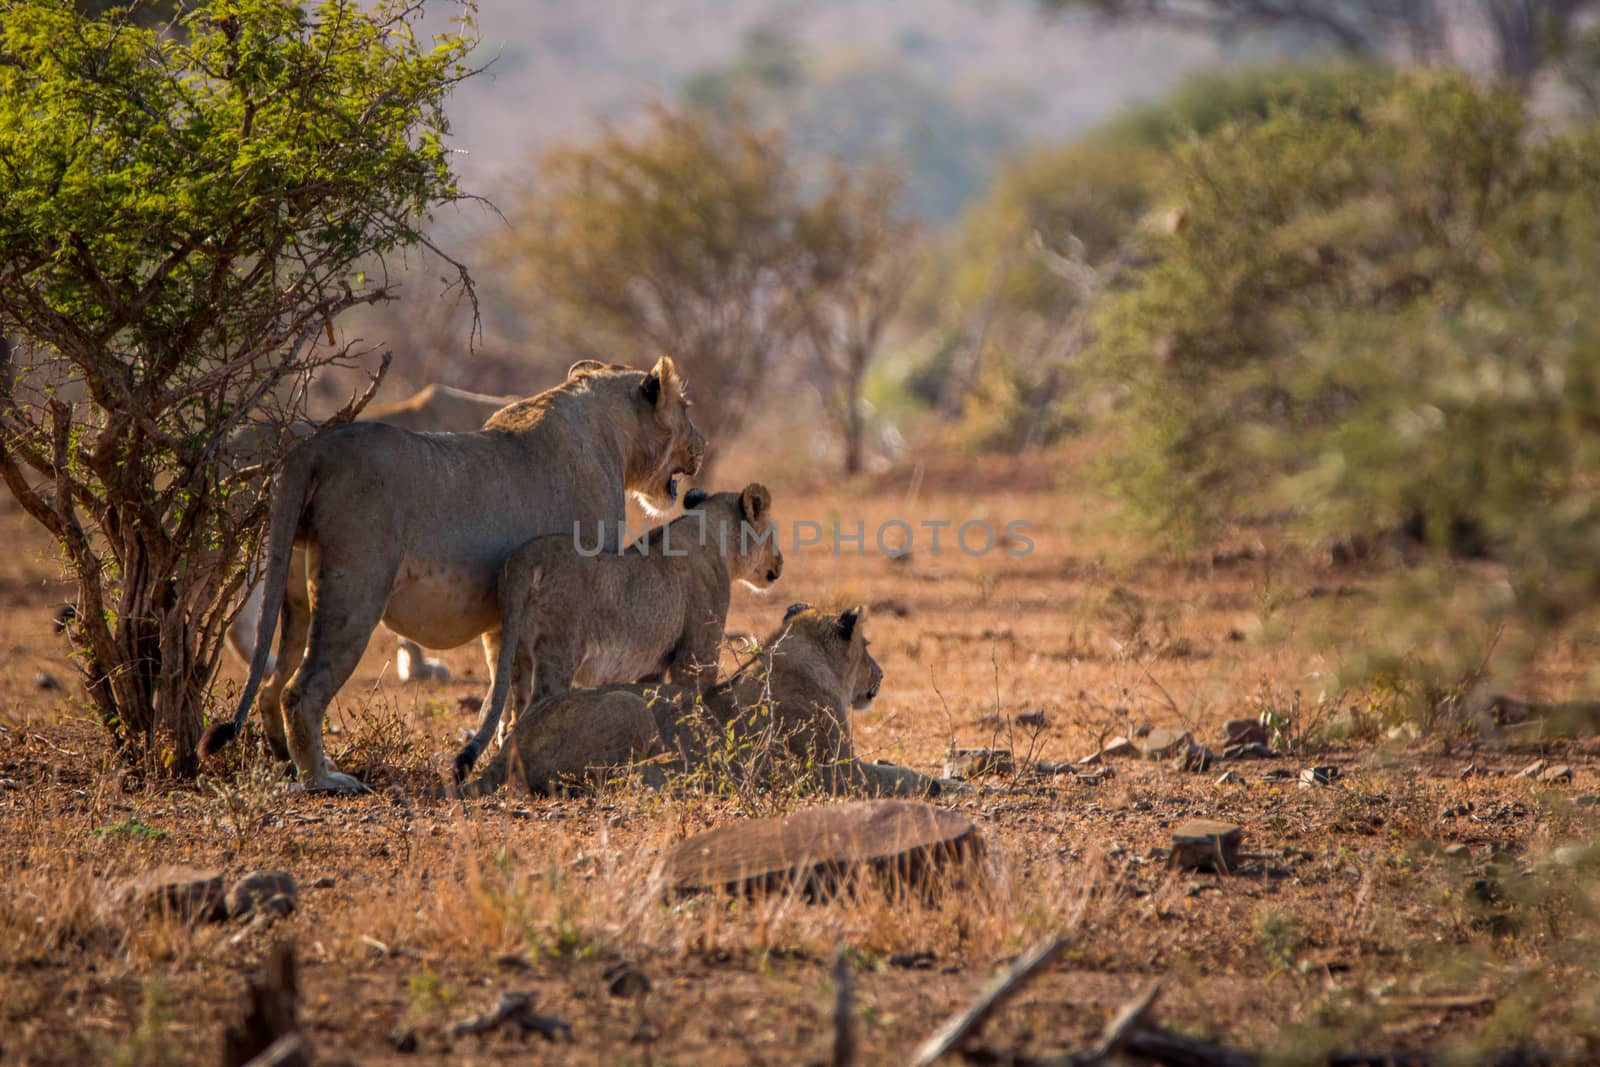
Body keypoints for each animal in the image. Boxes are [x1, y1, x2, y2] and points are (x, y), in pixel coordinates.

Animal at [454, 604, 947, 796]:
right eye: (868, 648)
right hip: (630, 706)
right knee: (605, 780)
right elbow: (902, 777)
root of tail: (512, 739)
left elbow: (890, 766)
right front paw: (949, 784)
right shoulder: (836, 773)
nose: (880, 675)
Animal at [457, 483, 787, 777]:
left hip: (516, 649)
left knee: (512, 711)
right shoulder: (696, 653)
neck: (713, 537)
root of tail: (527, 558)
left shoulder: (653, 666)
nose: (780, 563)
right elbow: (699, 697)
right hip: (559, 650)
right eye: (772, 533)